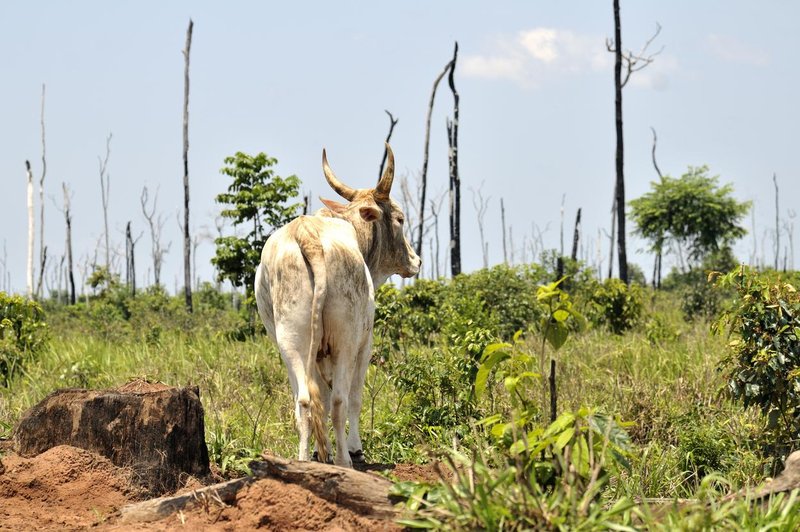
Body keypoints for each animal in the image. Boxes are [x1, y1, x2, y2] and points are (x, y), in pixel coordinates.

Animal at [255, 144, 418, 466]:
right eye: (400, 219)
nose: (416, 260)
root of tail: (306, 234)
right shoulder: (364, 342)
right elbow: (352, 398)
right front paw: (355, 448)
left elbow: (322, 397)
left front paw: (323, 451)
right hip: (346, 339)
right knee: (341, 401)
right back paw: (345, 461)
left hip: (291, 340)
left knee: (305, 401)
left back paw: (306, 460)